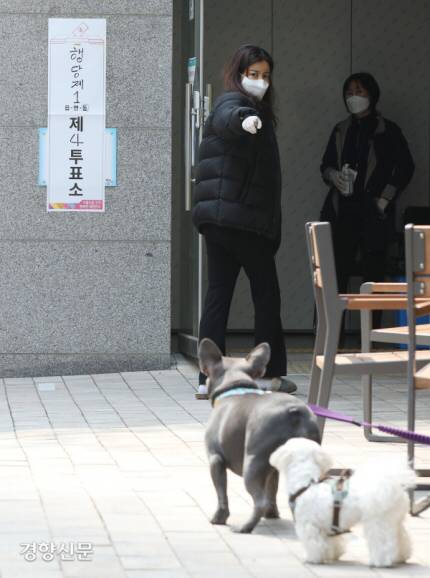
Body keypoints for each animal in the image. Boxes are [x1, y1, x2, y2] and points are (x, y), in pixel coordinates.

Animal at [270, 436, 414, 564]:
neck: (307, 483)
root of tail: (392, 486)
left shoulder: (308, 525)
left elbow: (313, 543)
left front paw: (312, 559)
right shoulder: (328, 527)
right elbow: (331, 543)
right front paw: (332, 554)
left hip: (378, 521)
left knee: (382, 542)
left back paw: (381, 561)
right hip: (395, 520)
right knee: (401, 538)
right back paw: (400, 557)